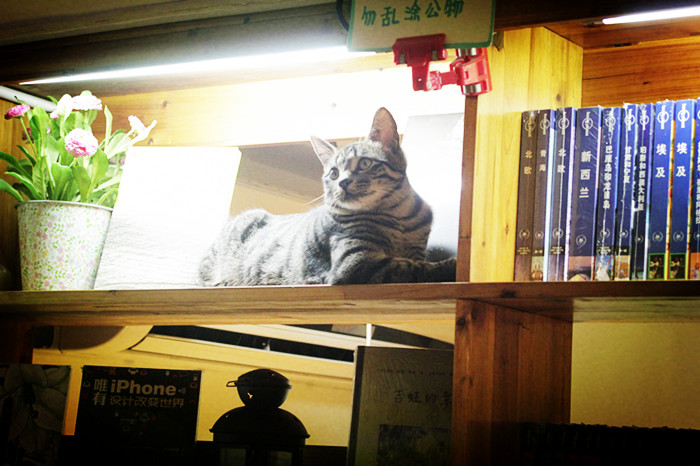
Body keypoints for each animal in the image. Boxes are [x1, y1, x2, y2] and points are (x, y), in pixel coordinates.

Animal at [198, 107, 456, 286]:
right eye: (333, 173)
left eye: (364, 163)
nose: (343, 182)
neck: (399, 215)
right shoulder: (356, 261)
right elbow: (412, 267)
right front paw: (449, 266)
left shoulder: (415, 248)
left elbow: (416, 261)